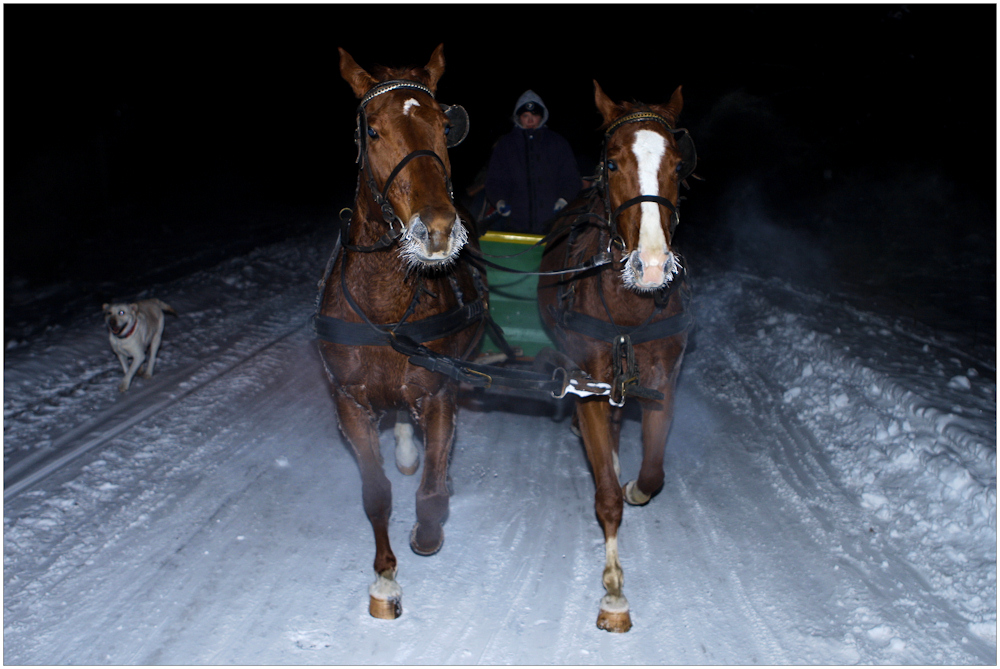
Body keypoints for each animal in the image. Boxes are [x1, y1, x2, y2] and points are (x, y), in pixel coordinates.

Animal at [314, 45, 482, 620]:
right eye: (372, 130)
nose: (437, 229)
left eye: (443, 126)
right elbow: (376, 494)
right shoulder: (350, 401)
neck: (386, 308)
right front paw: (384, 581)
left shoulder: (439, 391)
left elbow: (431, 495)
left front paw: (427, 529)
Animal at [540, 81, 696, 628]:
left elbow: (652, 474)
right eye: (611, 163)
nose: (651, 265)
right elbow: (606, 495)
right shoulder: (590, 382)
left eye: (678, 165)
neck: (631, 306)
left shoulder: (663, 381)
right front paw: (613, 590)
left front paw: (634, 486)